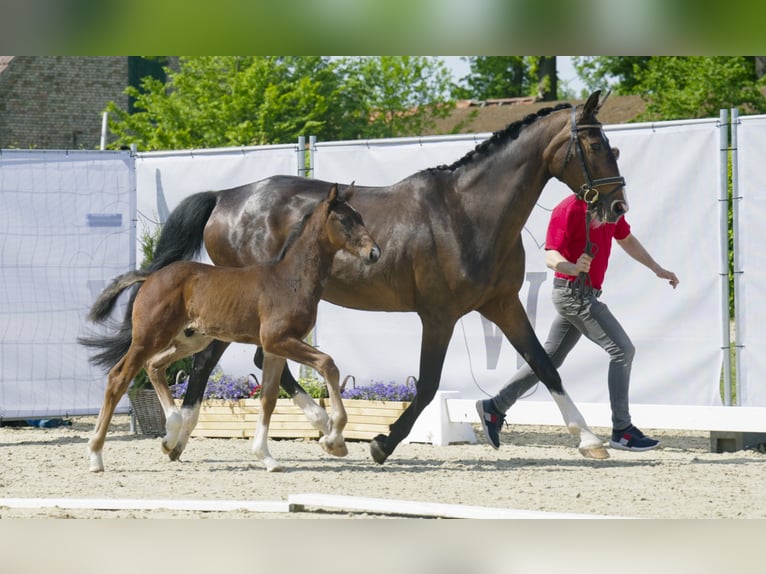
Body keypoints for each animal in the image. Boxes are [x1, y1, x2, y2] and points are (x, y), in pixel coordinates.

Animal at [81, 184, 380, 472]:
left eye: (361, 217)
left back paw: (170, 436)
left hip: (190, 340)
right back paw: (95, 456)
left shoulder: (274, 348)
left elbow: (269, 398)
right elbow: (328, 364)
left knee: (154, 365)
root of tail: (151, 276)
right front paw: (334, 438)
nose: (374, 253)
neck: (290, 280)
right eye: (343, 219)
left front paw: (266, 457)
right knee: (119, 377)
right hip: (149, 336)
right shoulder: (279, 340)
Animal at [129, 92, 632, 466]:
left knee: (252, 360)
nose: (616, 208)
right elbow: (427, 384)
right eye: (594, 147)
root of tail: (225, 196)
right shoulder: (439, 315)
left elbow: (544, 365)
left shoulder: (502, 304)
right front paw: (382, 443)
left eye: (614, 147)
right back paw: (188, 435)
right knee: (208, 361)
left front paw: (589, 440)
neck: (471, 213)